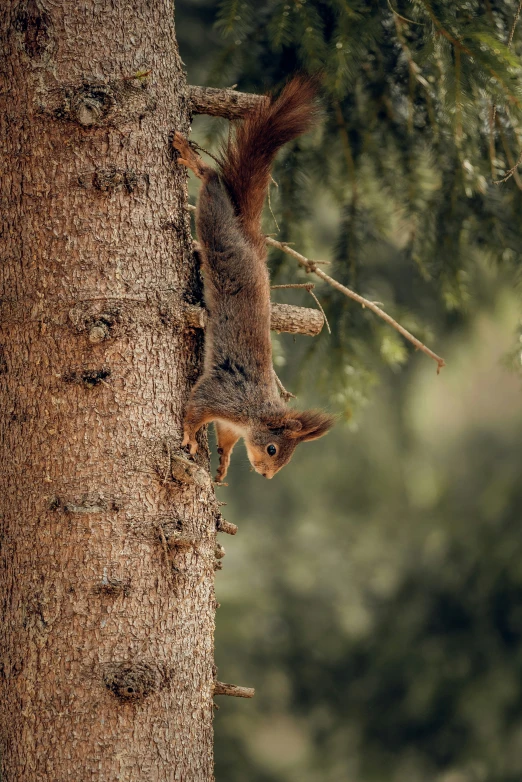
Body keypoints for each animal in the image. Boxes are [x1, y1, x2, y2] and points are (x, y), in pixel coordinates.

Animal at [172, 78, 334, 484]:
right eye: (274, 449)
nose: (266, 476)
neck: (255, 413)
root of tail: (249, 242)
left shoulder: (231, 422)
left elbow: (226, 438)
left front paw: (224, 462)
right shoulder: (223, 395)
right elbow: (195, 408)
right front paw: (189, 436)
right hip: (218, 232)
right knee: (213, 188)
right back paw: (194, 161)